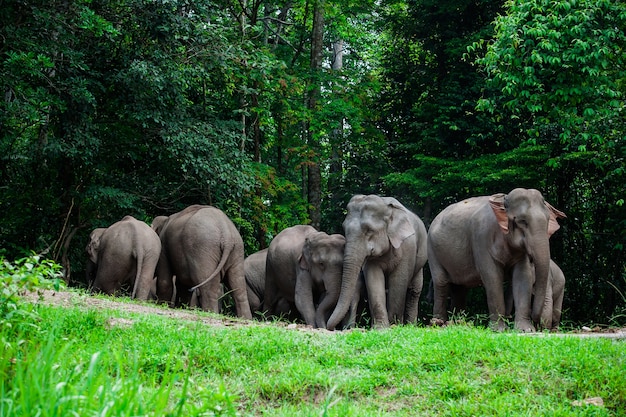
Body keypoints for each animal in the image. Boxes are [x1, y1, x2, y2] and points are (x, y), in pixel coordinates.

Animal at [324, 194, 426, 328]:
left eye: (369, 230)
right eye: (344, 228)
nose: (329, 327)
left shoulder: (408, 248)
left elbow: (399, 281)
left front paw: (394, 325)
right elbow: (374, 279)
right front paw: (381, 328)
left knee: (414, 291)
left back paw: (410, 325)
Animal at [424, 188, 564, 332]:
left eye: (548, 221)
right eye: (522, 221)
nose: (536, 321)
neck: (503, 201)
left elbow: (523, 277)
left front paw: (526, 330)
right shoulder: (481, 238)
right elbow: (492, 277)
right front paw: (499, 330)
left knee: (459, 289)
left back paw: (456, 323)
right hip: (432, 249)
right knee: (441, 282)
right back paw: (438, 323)